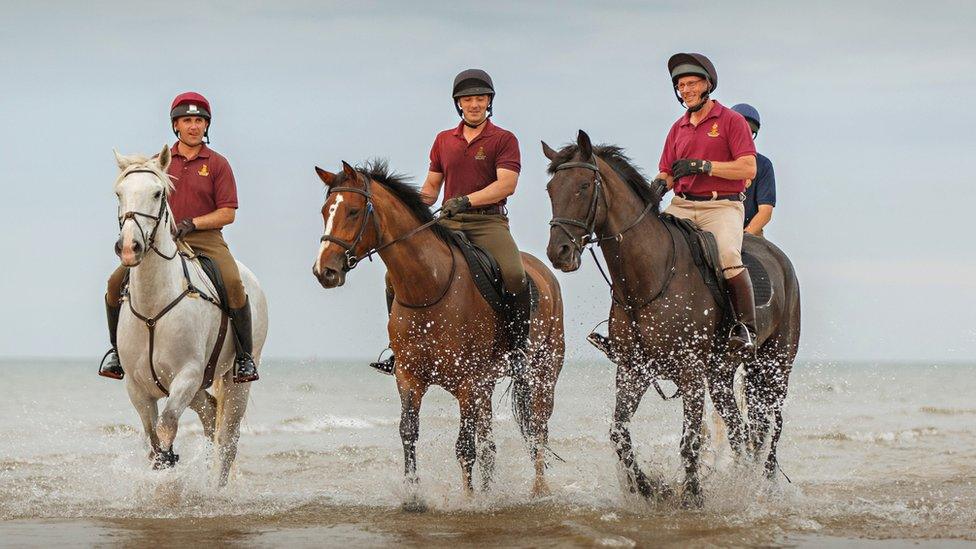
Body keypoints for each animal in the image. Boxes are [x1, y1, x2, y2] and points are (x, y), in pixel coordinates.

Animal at [113, 146, 266, 484]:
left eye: (158, 193)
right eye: (119, 193)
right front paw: (162, 468)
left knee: (228, 438)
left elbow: (167, 425)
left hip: (235, 381)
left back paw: (216, 489)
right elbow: (152, 438)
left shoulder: (187, 375)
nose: (129, 248)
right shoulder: (137, 387)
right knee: (209, 414)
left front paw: (169, 471)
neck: (154, 308)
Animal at [312, 159, 564, 506]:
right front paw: (413, 496)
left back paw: (540, 492)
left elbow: (465, 447)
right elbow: (408, 432)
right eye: (326, 211)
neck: (429, 285)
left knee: (537, 431)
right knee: (491, 443)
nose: (324, 271)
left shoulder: (468, 383)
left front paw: (469, 501)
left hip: (542, 373)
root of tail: (545, 273)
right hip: (488, 385)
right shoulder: (409, 378)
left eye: (352, 211)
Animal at [540, 131, 800, 508]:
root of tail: (780, 258)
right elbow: (619, 433)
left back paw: (763, 486)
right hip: (721, 376)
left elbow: (690, 441)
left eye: (584, 186)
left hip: (775, 367)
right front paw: (649, 488)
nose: (558, 252)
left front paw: (692, 496)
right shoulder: (633, 370)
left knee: (772, 427)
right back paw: (740, 481)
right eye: (551, 189)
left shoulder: (690, 372)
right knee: (741, 431)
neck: (650, 277)